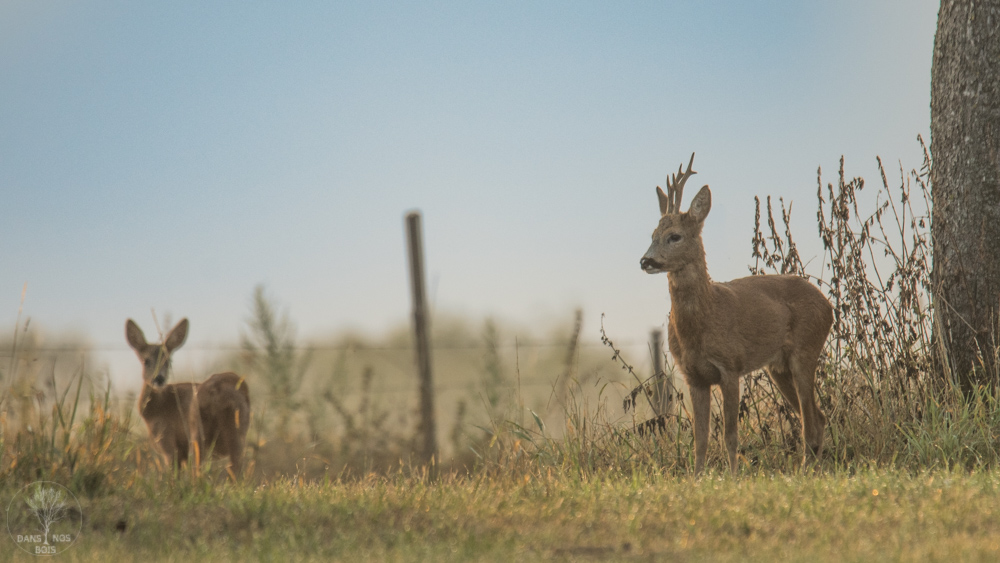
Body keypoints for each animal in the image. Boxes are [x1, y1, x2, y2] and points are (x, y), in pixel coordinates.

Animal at [125, 320, 252, 478]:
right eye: (146, 361)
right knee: (235, 469)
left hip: (197, 431)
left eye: (168, 361)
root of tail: (219, 392)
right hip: (239, 431)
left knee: (199, 472)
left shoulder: (167, 440)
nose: (159, 379)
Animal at [640, 153, 836, 472]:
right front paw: (697, 477)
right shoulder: (693, 376)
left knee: (811, 420)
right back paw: (812, 468)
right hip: (778, 367)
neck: (701, 322)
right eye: (653, 234)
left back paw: (807, 470)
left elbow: (730, 436)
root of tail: (829, 305)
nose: (646, 261)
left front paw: (732, 476)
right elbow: (701, 438)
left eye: (675, 236)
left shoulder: (730, 367)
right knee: (817, 417)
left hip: (805, 350)